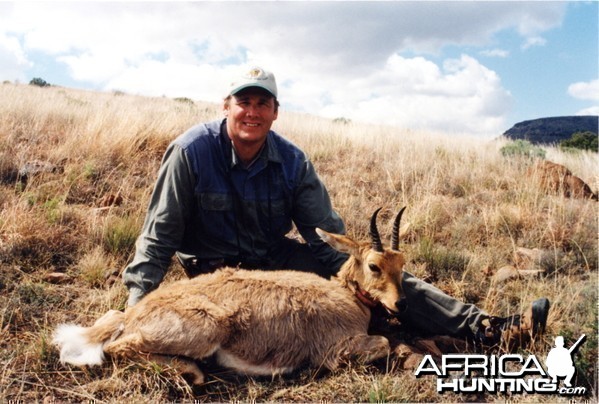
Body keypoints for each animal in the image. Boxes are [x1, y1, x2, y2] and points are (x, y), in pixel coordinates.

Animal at [52, 208, 408, 386]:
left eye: (402, 263)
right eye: (374, 265)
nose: (400, 303)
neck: (347, 296)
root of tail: (134, 314)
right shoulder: (336, 348)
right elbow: (383, 343)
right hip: (207, 329)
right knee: (116, 348)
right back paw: (193, 373)